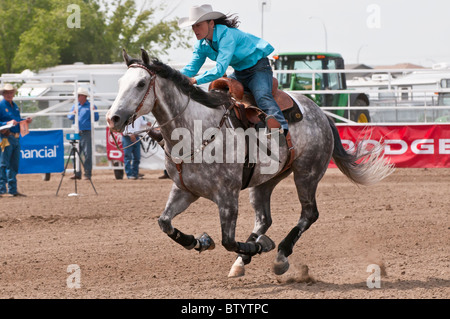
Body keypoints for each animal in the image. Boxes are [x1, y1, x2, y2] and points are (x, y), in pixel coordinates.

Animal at [106, 49, 394, 278]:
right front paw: (200, 241)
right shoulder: (184, 190)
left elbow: (228, 240)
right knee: (264, 219)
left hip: (307, 174)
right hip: (264, 182)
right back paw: (241, 263)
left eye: (141, 83)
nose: (113, 118)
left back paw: (279, 256)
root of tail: (321, 113)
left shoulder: (227, 196)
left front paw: (260, 246)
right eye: (119, 82)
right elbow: (165, 223)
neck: (197, 131)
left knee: (308, 214)